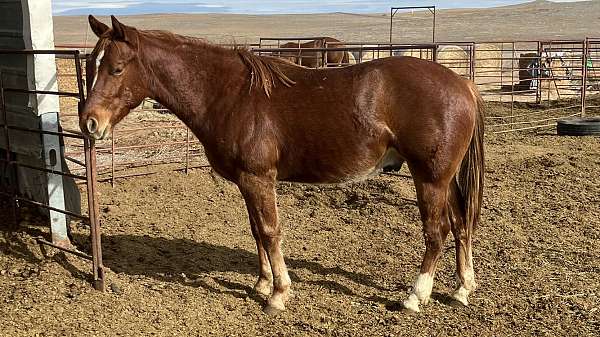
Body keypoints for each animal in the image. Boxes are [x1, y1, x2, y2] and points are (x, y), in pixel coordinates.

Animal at [82, 16, 486, 316]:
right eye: (90, 65)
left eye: (116, 68)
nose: (89, 123)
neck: (230, 95)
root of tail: (462, 84)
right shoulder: (246, 181)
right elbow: (256, 231)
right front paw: (261, 284)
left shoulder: (259, 178)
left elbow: (270, 231)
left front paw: (278, 294)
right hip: (445, 178)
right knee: (461, 224)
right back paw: (462, 288)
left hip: (430, 178)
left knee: (436, 232)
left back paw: (415, 296)